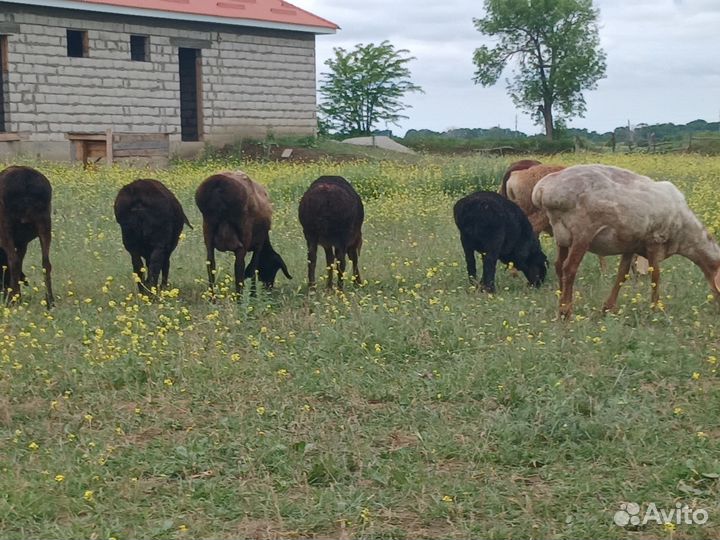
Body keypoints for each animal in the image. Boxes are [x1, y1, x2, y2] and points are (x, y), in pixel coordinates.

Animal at [0, 166, 54, 306]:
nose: (3, 292)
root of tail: (25, 181)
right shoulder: (22, 242)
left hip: (5, 225)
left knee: (13, 261)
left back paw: (13, 301)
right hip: (44, 221)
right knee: (46, 263)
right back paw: (50, 301)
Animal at [532, 164, 720, 318]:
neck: (686, 234)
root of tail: (543, 190)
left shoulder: (631, 245)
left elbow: (622, 274)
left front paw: (608, 308)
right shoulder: (654, 241)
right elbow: (656, 275)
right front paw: (656, 308)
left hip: (561, 233)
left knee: (558, 265)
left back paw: (560, 305)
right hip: (582, 232)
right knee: (569, 268)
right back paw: (566, 312)